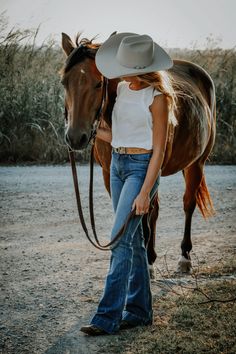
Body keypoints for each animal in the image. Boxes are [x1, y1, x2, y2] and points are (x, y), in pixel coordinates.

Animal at [60, 33, 216, 272]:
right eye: (64, 82)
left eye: (98, 83)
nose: (76, 137)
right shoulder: (108, 174)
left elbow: (143, 215)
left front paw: (146, 263)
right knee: (157, 210)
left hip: (196, 164)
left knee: (187, 204)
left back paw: (184, 257)